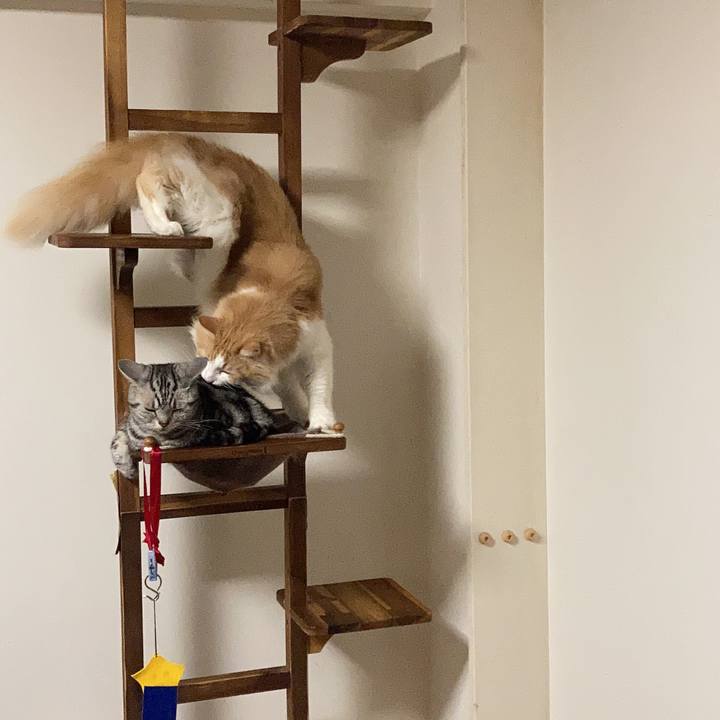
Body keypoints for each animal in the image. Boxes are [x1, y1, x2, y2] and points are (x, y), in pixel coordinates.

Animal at [6, 134, 342, 433]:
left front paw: (317, 420)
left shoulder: (315, 345)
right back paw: (168, 228)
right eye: (206, 358)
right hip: (219, 213)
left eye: (225, 368)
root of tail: (178, 138)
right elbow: (293, 387)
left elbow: (318, 388)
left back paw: (176, 243)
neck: (273, 294)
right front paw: (305, 413)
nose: (207, 377)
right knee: (149, 181)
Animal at [110, 357, 275, 480]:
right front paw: (127, 469)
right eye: (150, 410)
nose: (164, 423)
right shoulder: (126, 425)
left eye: (177, 409)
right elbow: (117, 440)